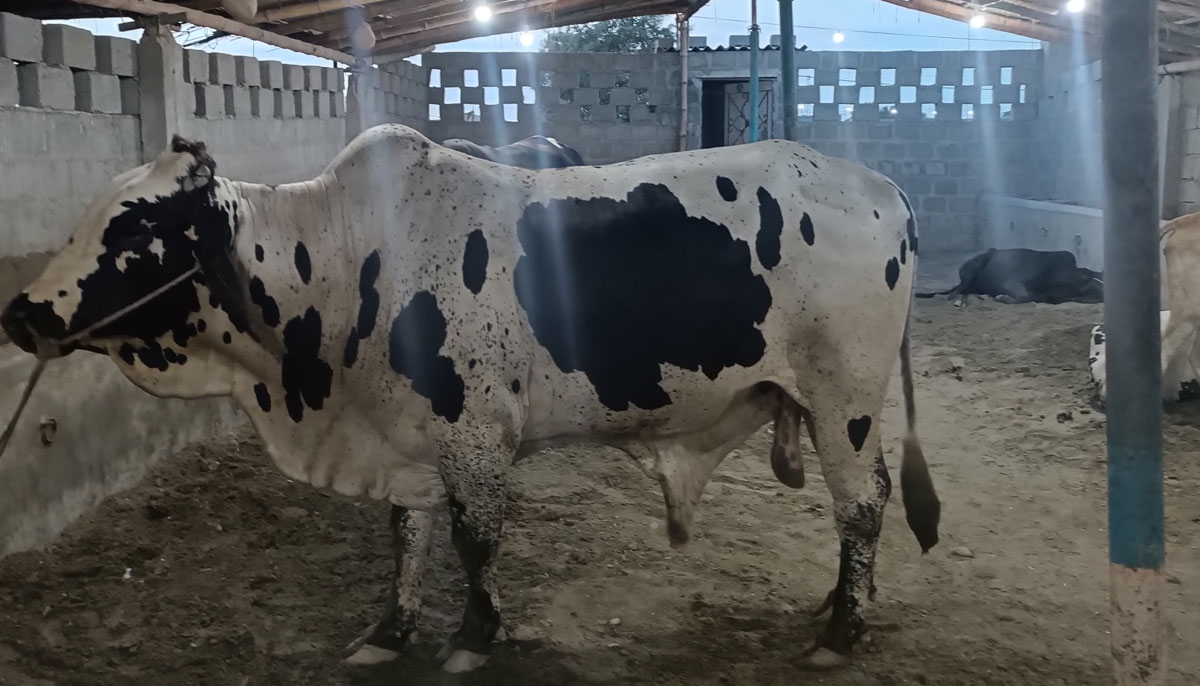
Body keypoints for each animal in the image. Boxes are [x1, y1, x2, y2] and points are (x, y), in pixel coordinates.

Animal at [0, 125, 936, 671]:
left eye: (137, 227)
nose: (20, 312)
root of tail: (882, 187)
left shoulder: (474, 433)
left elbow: (474, 539)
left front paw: (475, 637)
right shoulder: (405, 436)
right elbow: (406, 535)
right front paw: (392, 629)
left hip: (844, 399)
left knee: (863, 506)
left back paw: (842, 632)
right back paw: (837, 605)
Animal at [916, 249, 1104, 305]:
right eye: (1097, 289)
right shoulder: (1013, 282)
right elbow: (1023, 297)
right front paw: (1001, 297)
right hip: (972, 268)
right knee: (956, 291)